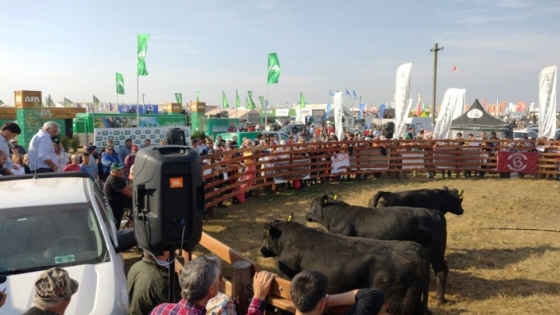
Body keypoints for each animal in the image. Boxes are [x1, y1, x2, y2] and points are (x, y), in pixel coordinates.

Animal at [306, 195, 450, 304]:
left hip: (435, 250)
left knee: (441, 270)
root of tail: (434, 212)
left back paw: (440, 298)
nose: (306, 214)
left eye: (313, 204)